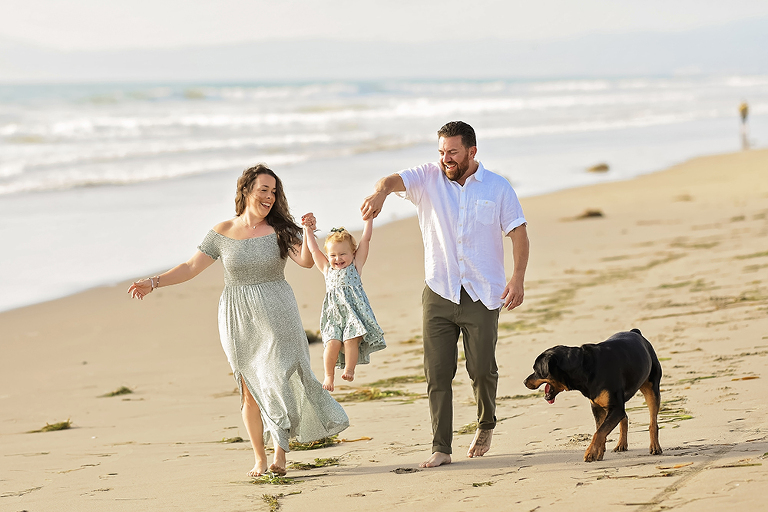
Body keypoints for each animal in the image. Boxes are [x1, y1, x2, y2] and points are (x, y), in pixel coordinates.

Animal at [524, 330, 664, 462]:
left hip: (651, 388)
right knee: (624, 418)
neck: (582, 368)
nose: (524, 381)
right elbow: (600, 430)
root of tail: (635, 332)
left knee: (652, 421)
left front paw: (590, 453)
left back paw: (655, 447)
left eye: (536, 370)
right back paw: (621, 444)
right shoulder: (598, 407)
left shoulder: (615, 408)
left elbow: (599, 432)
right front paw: (598, 453)